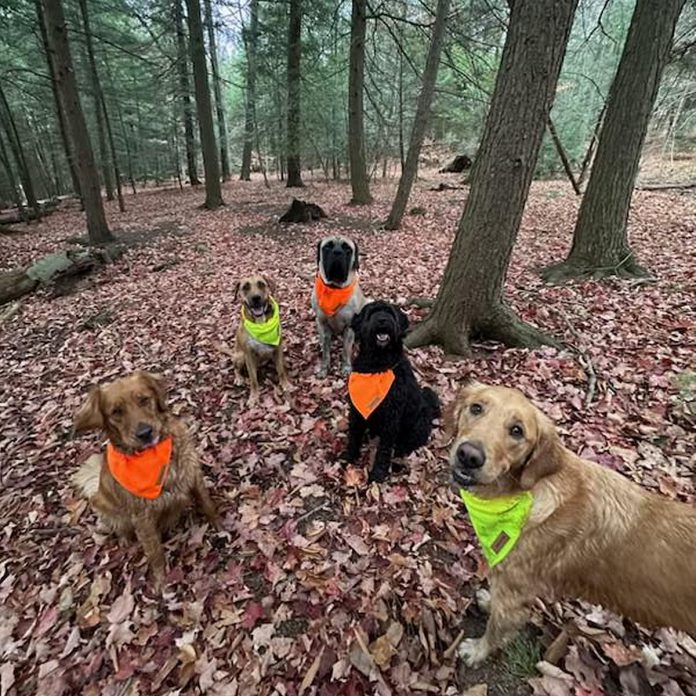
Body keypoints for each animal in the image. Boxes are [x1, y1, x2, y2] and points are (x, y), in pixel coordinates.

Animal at [72, 370, 216, 588]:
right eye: (116, 412)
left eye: (144, 400)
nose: (145, 433)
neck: (154, 456)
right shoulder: (142, 518)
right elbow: (155, 551)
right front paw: (161, 581)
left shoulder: (193, 475)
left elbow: (207, 504)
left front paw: (221, 525)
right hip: (104, 506)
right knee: (119, 528)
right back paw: (125, 540)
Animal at [234, 272, 288, 402]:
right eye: (245, 287)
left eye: (261, 284)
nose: (256, 298)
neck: (260, 323)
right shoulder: (248, 355)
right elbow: (253, 380)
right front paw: (253, 397)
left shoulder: (278, 348)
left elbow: (281, 370)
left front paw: (286, 385)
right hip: (240, 356)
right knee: (236, 369)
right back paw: (239, 378)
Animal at [310, 235, 364, 378]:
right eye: (327, 247)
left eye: (347, 249)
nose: (337, 252)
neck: (334, 289)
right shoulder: (322, 324)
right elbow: (325, 351)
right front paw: (324, 368)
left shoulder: (349, 327)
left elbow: (346, 350)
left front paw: (346, 367)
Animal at [344, 302, 440, 482]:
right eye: (372, 313)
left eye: (389, 312)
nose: (382, 320)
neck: (377, 367)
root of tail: (430, 411)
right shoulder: (356, 408)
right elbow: (354, 432)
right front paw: (349, 455)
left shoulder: (391, 417)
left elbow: (384, 449)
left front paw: (378, 473)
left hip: (416, 427)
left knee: (404, 446)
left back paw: (397, 463)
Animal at [446, 384, 696, 668]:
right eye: (476, 408)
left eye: (517, 431)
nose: (469, 456)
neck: (525, 493)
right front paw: (488, 601)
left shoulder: (513, 597)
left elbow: (496, 629)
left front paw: (477, 651)